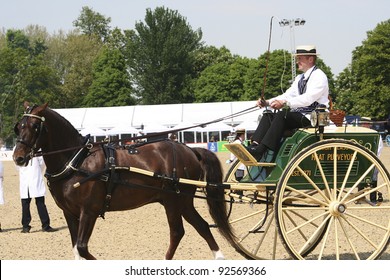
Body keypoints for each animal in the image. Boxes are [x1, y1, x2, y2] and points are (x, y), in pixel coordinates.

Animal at [12, 103, 236, 260]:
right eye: (18, 127)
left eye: (35, 126)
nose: (18, 158)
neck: (76, 161)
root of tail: (190, 150)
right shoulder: (70, 213)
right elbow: (76, 249)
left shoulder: (89, 211)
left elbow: (83, 249)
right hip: (182, 201)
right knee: (202, 226)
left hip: (173, 200)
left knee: (177, 232)